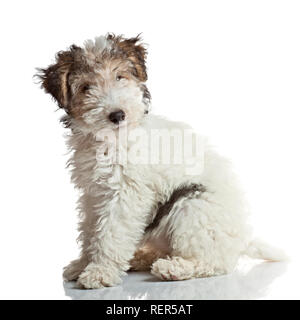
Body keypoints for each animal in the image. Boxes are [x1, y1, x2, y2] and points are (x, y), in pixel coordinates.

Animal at [35, 33, 286, 288]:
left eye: (120, 76)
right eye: (86, 87)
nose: (117, 115)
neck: (111, 140)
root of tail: (243, 238)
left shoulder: (125, 193)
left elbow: (111, 233)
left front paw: (100, 272)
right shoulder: (93, 194)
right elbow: (90, 230)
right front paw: (82, 264)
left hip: (193, 205)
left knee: (215, 263)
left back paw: (173, 268)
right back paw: (140, 258)